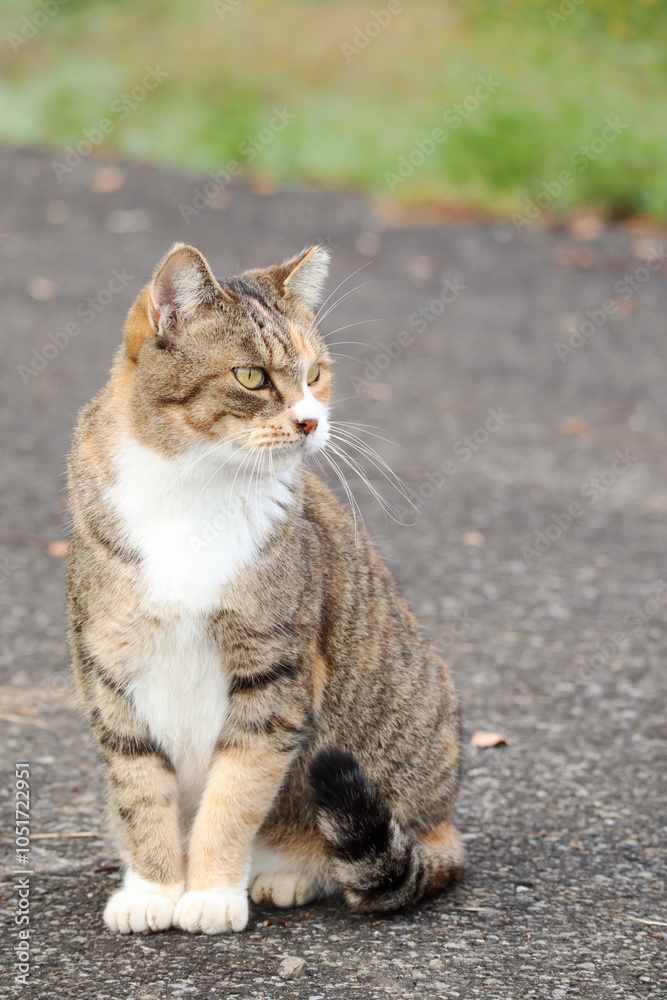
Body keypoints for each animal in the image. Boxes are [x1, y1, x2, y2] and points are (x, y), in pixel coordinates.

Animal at [68, 244, 464, 936]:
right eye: (252, 377)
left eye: (314, 372)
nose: (311, 421)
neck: (193, 489)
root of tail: (444, 825)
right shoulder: (109, 669)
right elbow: (140, 790)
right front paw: (154, 887)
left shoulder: (273, 673)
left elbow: (234, 795)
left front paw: (210, 891)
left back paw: (287, 874)